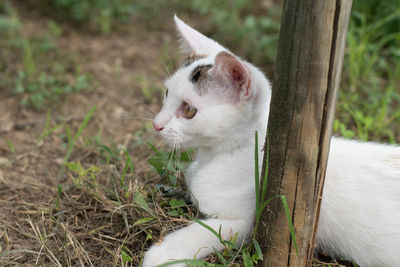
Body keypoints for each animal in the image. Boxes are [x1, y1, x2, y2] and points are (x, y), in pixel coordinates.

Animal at [143, 15, 400, 266]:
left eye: (188, 110)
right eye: (167, 94)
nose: (156, 124)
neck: (215, 156)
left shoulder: (246, 221)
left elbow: (204, 231)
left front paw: (161, 255)